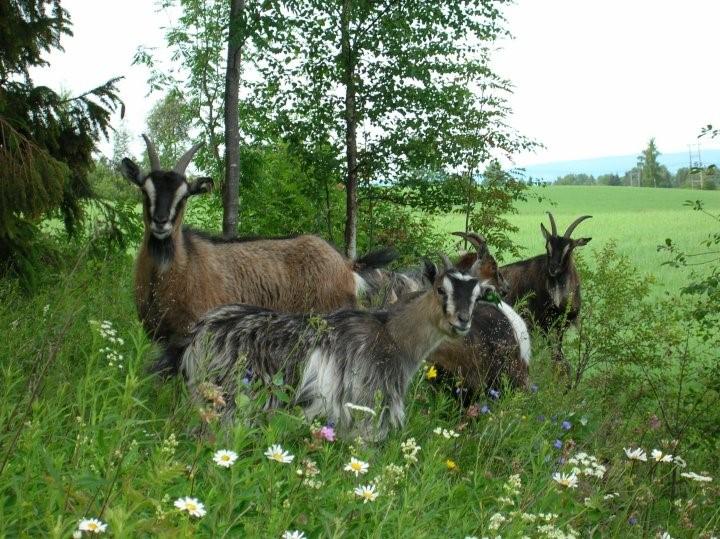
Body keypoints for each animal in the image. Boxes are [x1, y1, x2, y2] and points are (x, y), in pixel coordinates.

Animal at [180, 260, 496, 440]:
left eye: (477, 295)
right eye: (441, 290)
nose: (462, 321)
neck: (393, 337)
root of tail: (201, 331)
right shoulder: (367, 408)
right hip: (227, 400)